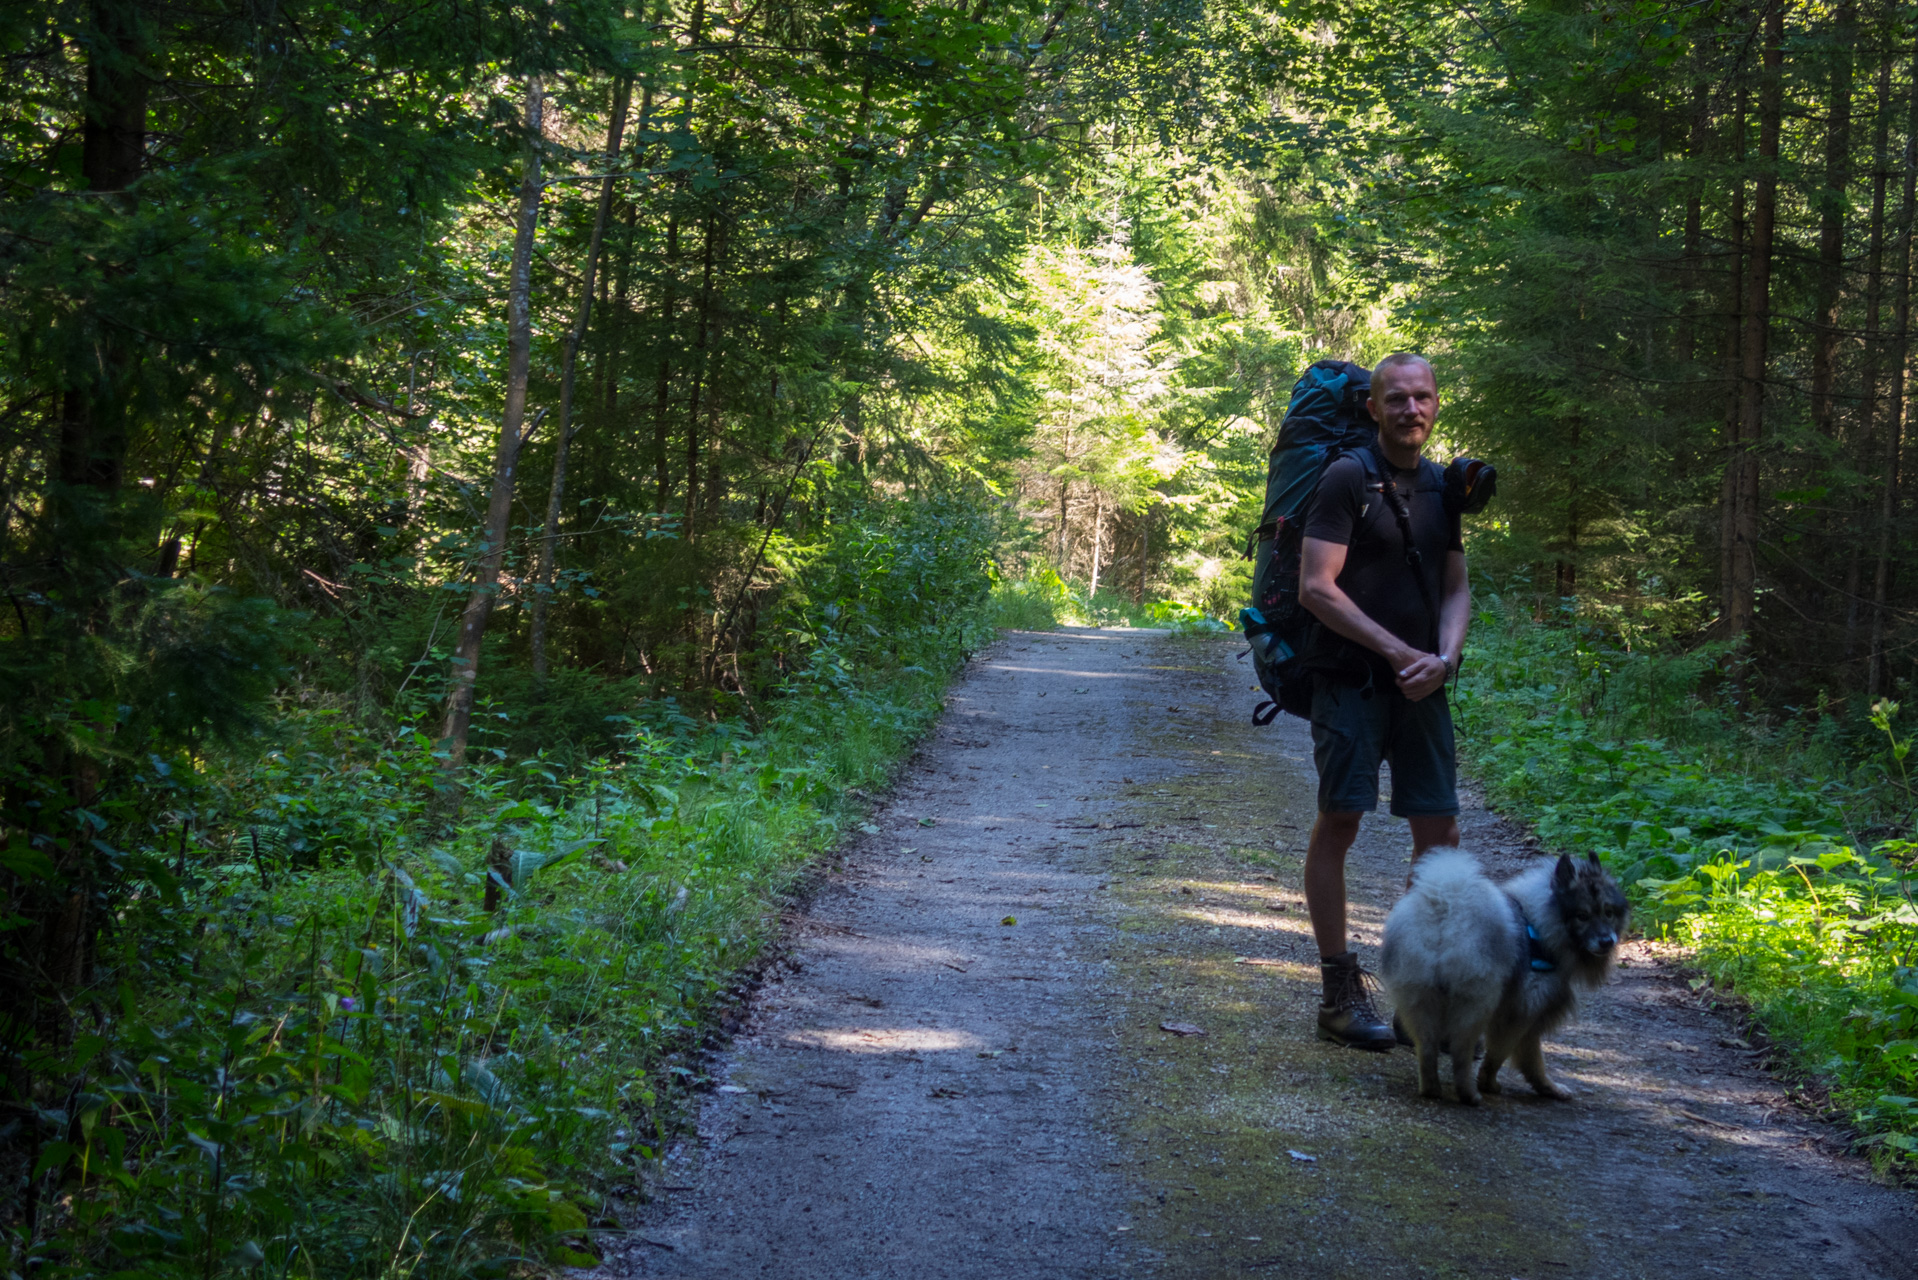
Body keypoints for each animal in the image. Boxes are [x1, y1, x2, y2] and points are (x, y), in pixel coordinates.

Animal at [1380, 844, 1634, 1105]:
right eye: (1582, 916)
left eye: (1608, 913)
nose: (1607, 940)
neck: (1542, 923)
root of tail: (1444, 907)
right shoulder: (1523, 1012)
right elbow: (1508, 1056)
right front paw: (1495, 1083)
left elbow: (1527, 1058)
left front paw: (1544, 1088)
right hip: (1475, 1004)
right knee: (1461, 1052)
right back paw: (1469, 1094)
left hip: (1422, 999)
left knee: (1427, 1048)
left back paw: (1431, 1089)